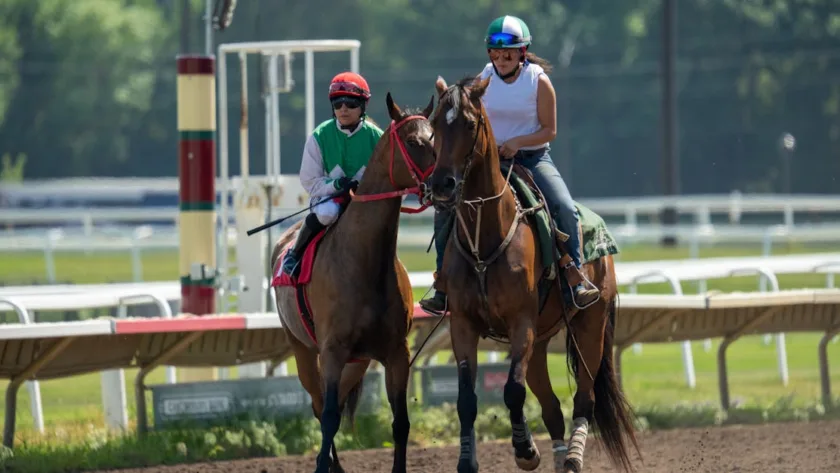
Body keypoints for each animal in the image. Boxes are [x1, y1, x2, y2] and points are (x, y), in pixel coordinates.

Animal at [269, 93, 436, 473]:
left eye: (435, 140)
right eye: (411, 141)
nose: (447, 183)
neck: (365, 263)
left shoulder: (396, 352)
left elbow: (400, 423)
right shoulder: (332, 349)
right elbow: (330, 416)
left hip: (358, 361)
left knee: (336, 402)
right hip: (303, 349)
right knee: (320, 406)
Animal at [425, 76, 641, 473]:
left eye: (469, 123)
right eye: (434, 125)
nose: (442, 185)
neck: (486, 240)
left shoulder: (520, 321)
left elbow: (512, 390)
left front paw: (525, 450)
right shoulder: (463, 322)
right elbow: (466, 399)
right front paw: (467, 461)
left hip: (590, 327)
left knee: (584, 398)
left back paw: (572, 457)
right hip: (540, 342)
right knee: (552, 407)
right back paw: (559, 455)